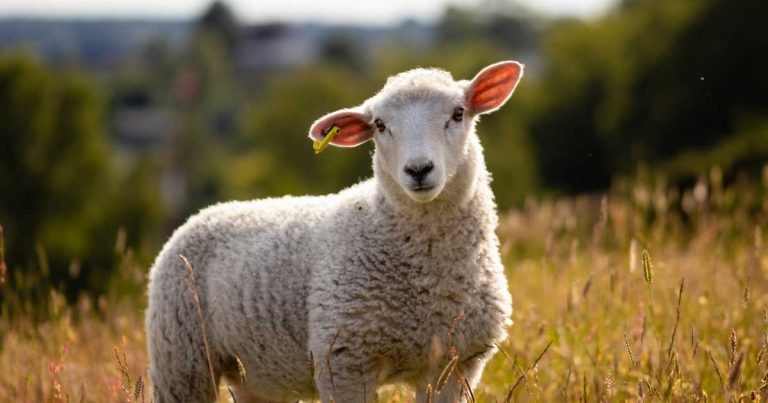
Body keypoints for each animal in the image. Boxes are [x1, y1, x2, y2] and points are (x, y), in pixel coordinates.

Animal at [146, 60, 524, 403]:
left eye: (458, 113)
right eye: (380, 125)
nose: (419, 169)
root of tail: (203, 214)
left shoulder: (455, 365)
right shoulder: (343, 361)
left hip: (252, 375)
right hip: (182, 362)